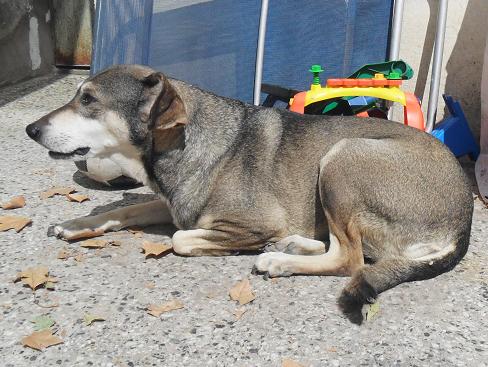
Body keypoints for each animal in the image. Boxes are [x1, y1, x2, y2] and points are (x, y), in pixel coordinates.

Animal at [26, 64, 472, 324]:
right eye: (78, 94)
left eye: (88, 100)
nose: (30, 130)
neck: (181, 143)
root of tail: (463, 219)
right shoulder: (172, 204)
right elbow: (128, 210)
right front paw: (77, 223)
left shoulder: (245, 222)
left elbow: (181, 238)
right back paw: (293, 245)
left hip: (341, 157)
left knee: (350, 259)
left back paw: (279, 259)